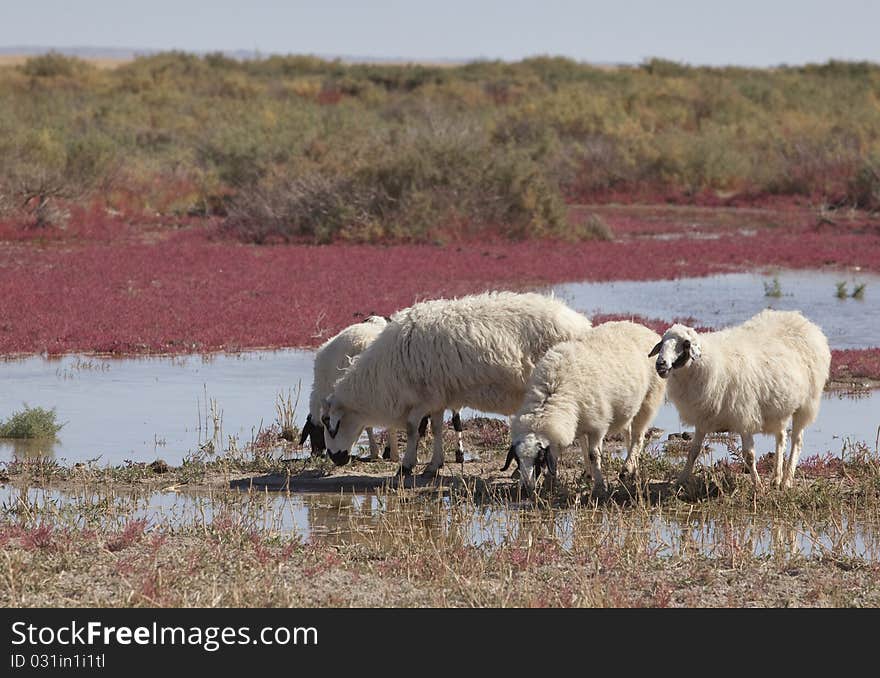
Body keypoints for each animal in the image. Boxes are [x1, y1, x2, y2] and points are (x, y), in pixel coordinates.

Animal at [322, 292, 592, 478]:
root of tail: (582, 324)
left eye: (329, 424)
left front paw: (407, 466)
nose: (335, 459)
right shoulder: (437, 396)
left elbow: (412, 429)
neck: (383, 374)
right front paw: (433, 465)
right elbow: (437, 428)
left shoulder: (424, 397)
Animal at [502, 322, 668, 496]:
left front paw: (600, 487)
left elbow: (593, 454)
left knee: (638, 437)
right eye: (517, 460)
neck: (553, 390)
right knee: (629, 435)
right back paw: (632, 470)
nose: (526, 488)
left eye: (539, 458)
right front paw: (553, 483)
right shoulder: (578, 422)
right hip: (629, 409)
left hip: (649, 400)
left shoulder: (597, 426)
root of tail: (646, 330)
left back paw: (627, 468)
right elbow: (574, 450)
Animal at [652, 310, 832, 492]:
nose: (660, 364)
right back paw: (776, 478)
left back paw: (786, 480)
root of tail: (800, 319)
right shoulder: (703, 418)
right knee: (781, 438)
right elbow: (693, 451)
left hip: (807, 404)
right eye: (663, 343)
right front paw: (680, 481)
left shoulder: (744, 417)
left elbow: (749, 456)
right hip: (780, 406)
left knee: (797, 441)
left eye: (686, 344)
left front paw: (757, 485)